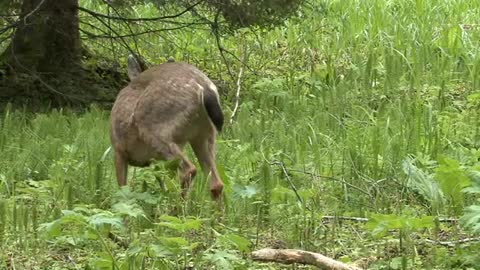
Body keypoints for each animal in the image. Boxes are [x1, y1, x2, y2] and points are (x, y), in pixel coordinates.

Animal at [110, 54, 225, 199]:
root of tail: (203, 87)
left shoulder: (119, 150)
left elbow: (122, 187)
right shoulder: (155, 162)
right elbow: (161, 181)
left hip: (153, 131)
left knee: (189, 170)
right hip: (204, 135)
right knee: (216, 183)